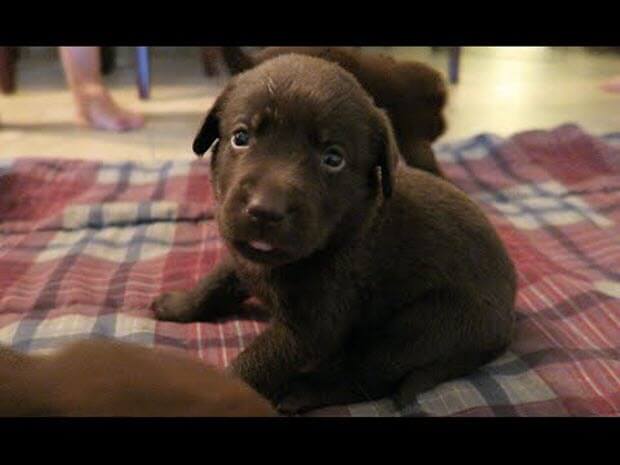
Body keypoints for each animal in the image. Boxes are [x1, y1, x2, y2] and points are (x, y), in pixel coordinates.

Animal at [154, 55, 520, 414]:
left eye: (333, 158)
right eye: (240, 138)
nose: (264, 210)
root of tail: (505, 328)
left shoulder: (310, 326)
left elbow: (252, 365)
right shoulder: (242, 257)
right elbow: (214, 282)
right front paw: (176, 305)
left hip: (420, 327)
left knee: (367, 376)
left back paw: (304, 392)